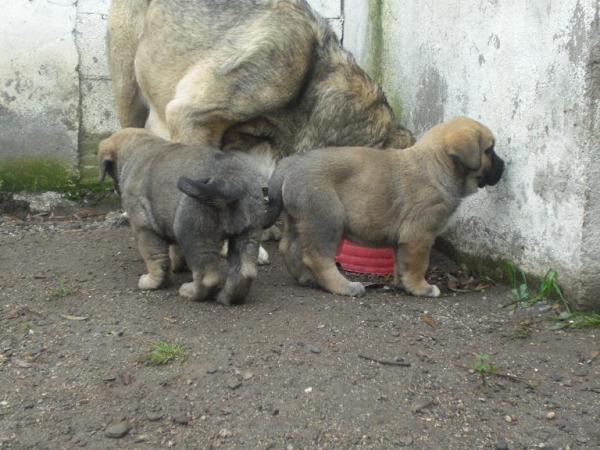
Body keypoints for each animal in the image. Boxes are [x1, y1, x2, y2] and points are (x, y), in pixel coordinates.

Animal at [97, 128, 264, 308]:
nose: (115, 190)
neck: (138, 149)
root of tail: (230, 182)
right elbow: (172, 250)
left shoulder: (144, 229)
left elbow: (155, 258)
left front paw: (152, 282)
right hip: (248, 232)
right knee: (244, 272)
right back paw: (227, 297)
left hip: (192, 231)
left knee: (208, 277)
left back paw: (190, 292)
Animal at [264, 118, 504, 298]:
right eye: (489, 150)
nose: (504, 167)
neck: (436, 166)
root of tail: (288, 164)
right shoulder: (420, 235)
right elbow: (418, 265)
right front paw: (422, 288)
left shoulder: (404, 240)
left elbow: (402, 263)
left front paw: (403, 284)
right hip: (326, 218)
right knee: (317, 257)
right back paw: (344, 286)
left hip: (299, 219)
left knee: (288, 247)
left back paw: (305, 278)